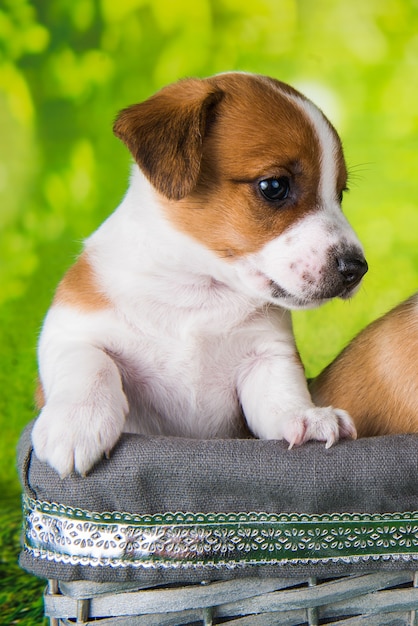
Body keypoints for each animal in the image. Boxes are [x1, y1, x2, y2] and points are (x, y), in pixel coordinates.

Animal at [31, 72, 368, 472]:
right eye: (274, 186)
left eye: (340, 193)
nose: (357, 268)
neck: (196, 293)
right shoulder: (70, 329)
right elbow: (90, 363)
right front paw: (76, 422)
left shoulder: (267, 357)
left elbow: (280, 397)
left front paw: (307, 416)